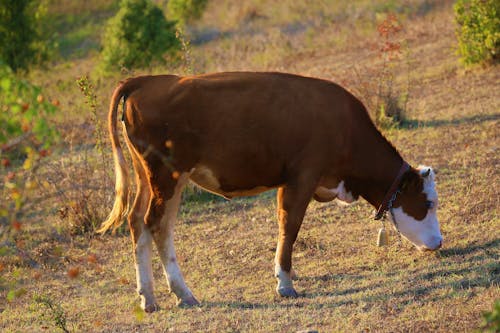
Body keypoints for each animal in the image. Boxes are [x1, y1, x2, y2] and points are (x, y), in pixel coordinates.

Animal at [99, 72, 444, 312]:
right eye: (428, 203)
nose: (439, 243)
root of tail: (148, 81)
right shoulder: (301, 177)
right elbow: (289, 227)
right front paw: (285, 284)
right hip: (167, 177)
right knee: (157, 225)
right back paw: (182, 294)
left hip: (152, 178)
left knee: (138, 221)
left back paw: (148, 298)